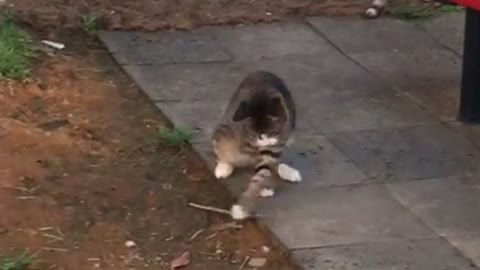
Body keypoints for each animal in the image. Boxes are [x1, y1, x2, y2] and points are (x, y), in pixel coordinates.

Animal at [212, 70, 302, 220]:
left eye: (272, 131)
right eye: (254, 133)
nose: (263, 140)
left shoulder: (277, 144)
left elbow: (263, 172)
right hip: (223, 132)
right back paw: (224, 167)